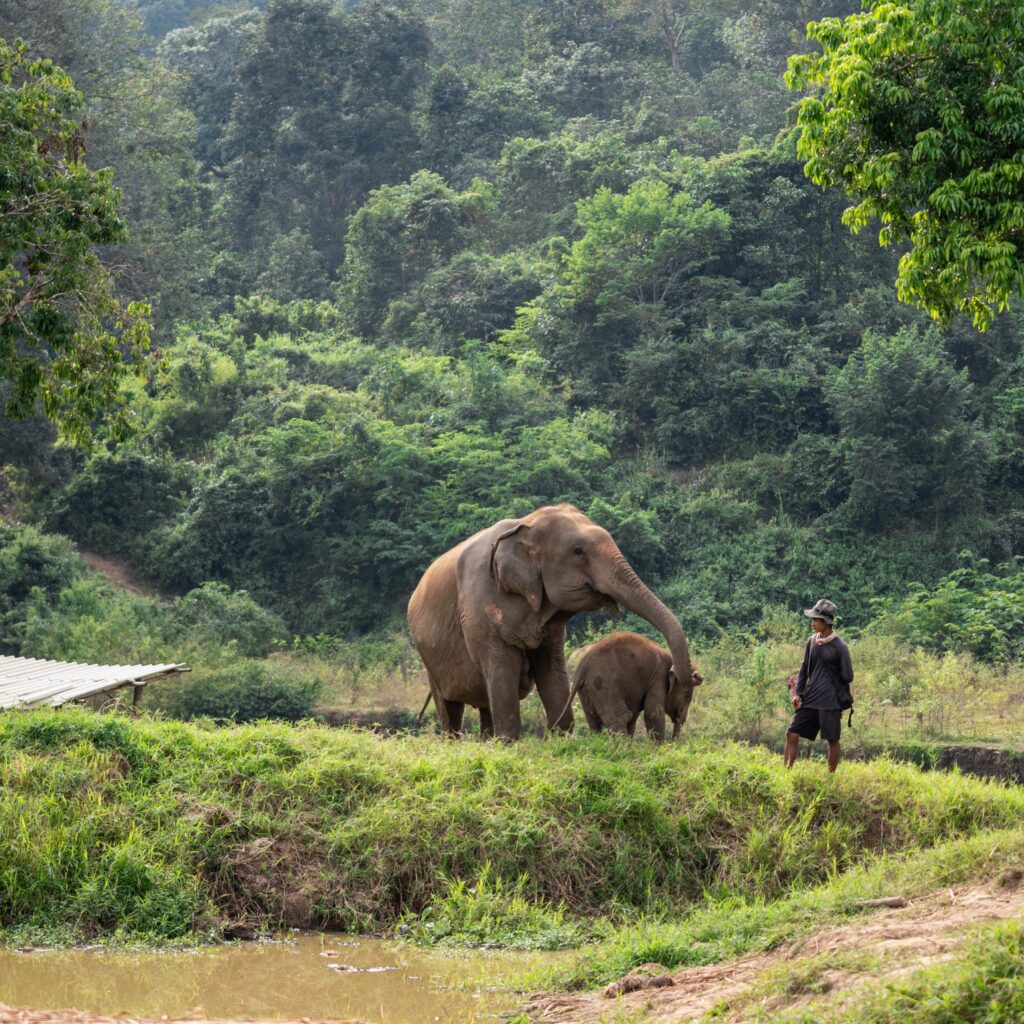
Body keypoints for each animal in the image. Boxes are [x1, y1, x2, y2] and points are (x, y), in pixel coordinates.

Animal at [567, 631, 702, 740]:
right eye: (687, 697)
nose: (673, 743)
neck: (672, 660)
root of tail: (581, 668)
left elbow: (634, 718)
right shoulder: (658, 678)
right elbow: (653, 713)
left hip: (586, 690)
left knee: (594, 724)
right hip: (603, 685)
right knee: (620, 718)